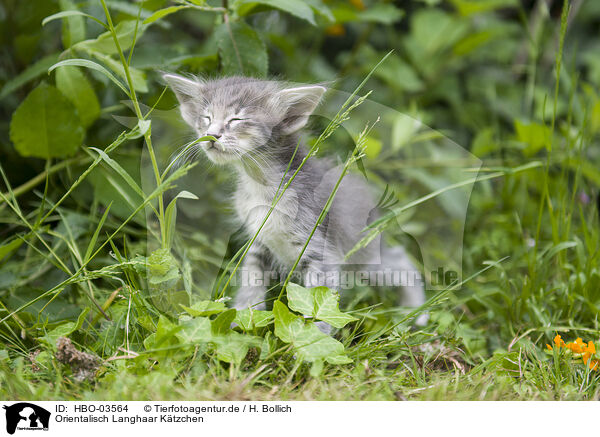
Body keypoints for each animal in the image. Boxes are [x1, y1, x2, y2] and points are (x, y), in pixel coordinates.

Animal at [164, 75, 426, 328]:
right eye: (206, 118)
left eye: (237, 119)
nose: (211, 135)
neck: (262, 186)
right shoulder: (258, 243)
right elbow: (250, 286)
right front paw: (240, 322)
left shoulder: (322, 251)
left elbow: (320, 307)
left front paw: (311, 338)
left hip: (363, 257)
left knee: (400, 260)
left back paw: (417, 313)